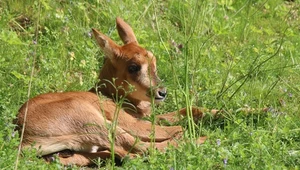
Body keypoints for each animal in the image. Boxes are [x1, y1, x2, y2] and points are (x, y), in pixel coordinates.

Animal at [15, 17, 209, 166]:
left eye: (153, 61)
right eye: (133, 67)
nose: (161, 92)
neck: (109, 95)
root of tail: (23, 136)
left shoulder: (145, 117)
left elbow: (187, 110)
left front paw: (215, 113)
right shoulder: (134, 123)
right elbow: (173, 127)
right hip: (99, 124)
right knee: (146, 147)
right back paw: (201, 140)